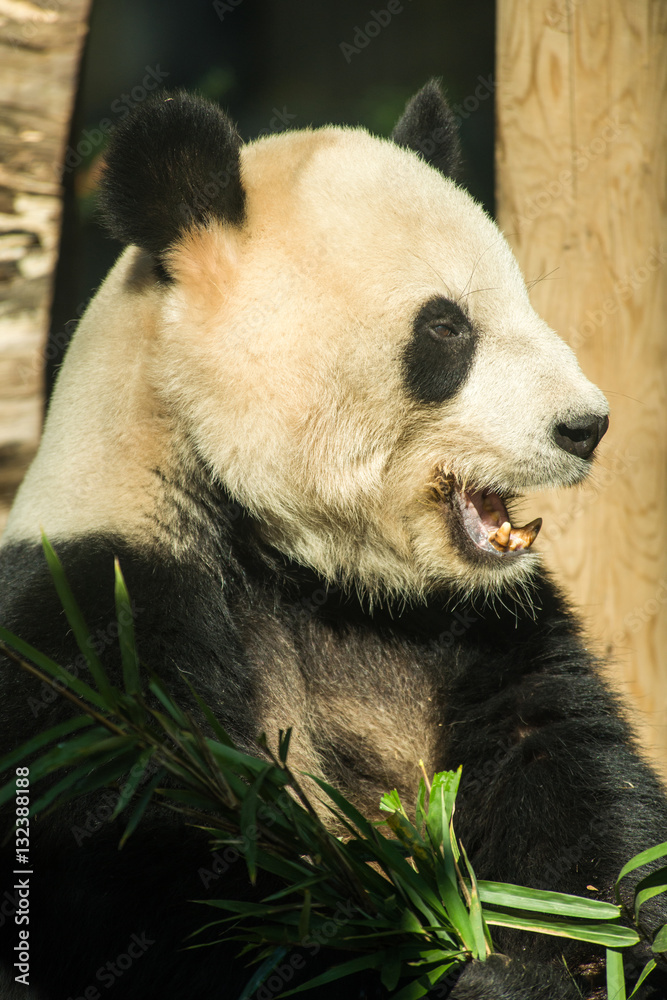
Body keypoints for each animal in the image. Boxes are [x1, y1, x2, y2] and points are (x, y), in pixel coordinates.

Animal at [1, 81, 666, 1000]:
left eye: (523, 303)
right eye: (446, 328)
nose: (585, 427)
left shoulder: (483, 624)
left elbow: (576, 800)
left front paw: (582, 948)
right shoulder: (101, 622)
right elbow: (174, 884)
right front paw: (471, 972)